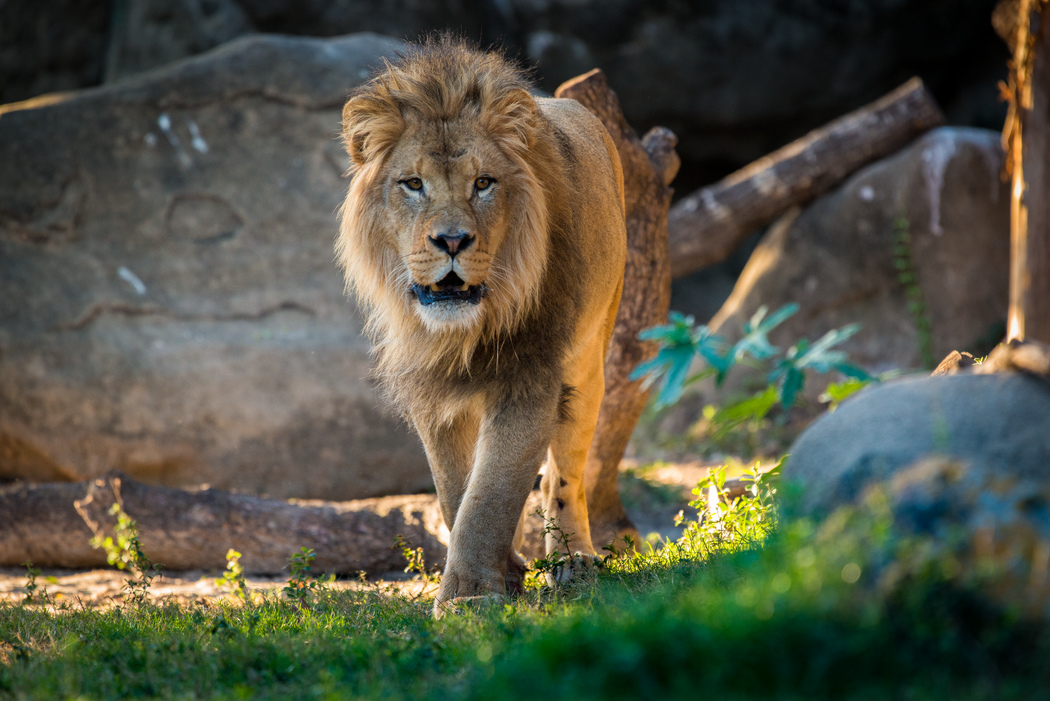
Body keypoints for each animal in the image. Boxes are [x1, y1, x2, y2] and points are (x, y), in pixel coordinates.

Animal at [340, 36, 625, 612]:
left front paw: (469, 596)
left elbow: (491, 489)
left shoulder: (530, 377)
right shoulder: (432, 390)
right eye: (413, 184)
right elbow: (458, 492)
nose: (451, 240)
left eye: (484, 183)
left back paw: (574, 562)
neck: (462, 331)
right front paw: (499, 573)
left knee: (566, 475)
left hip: (589, 361)